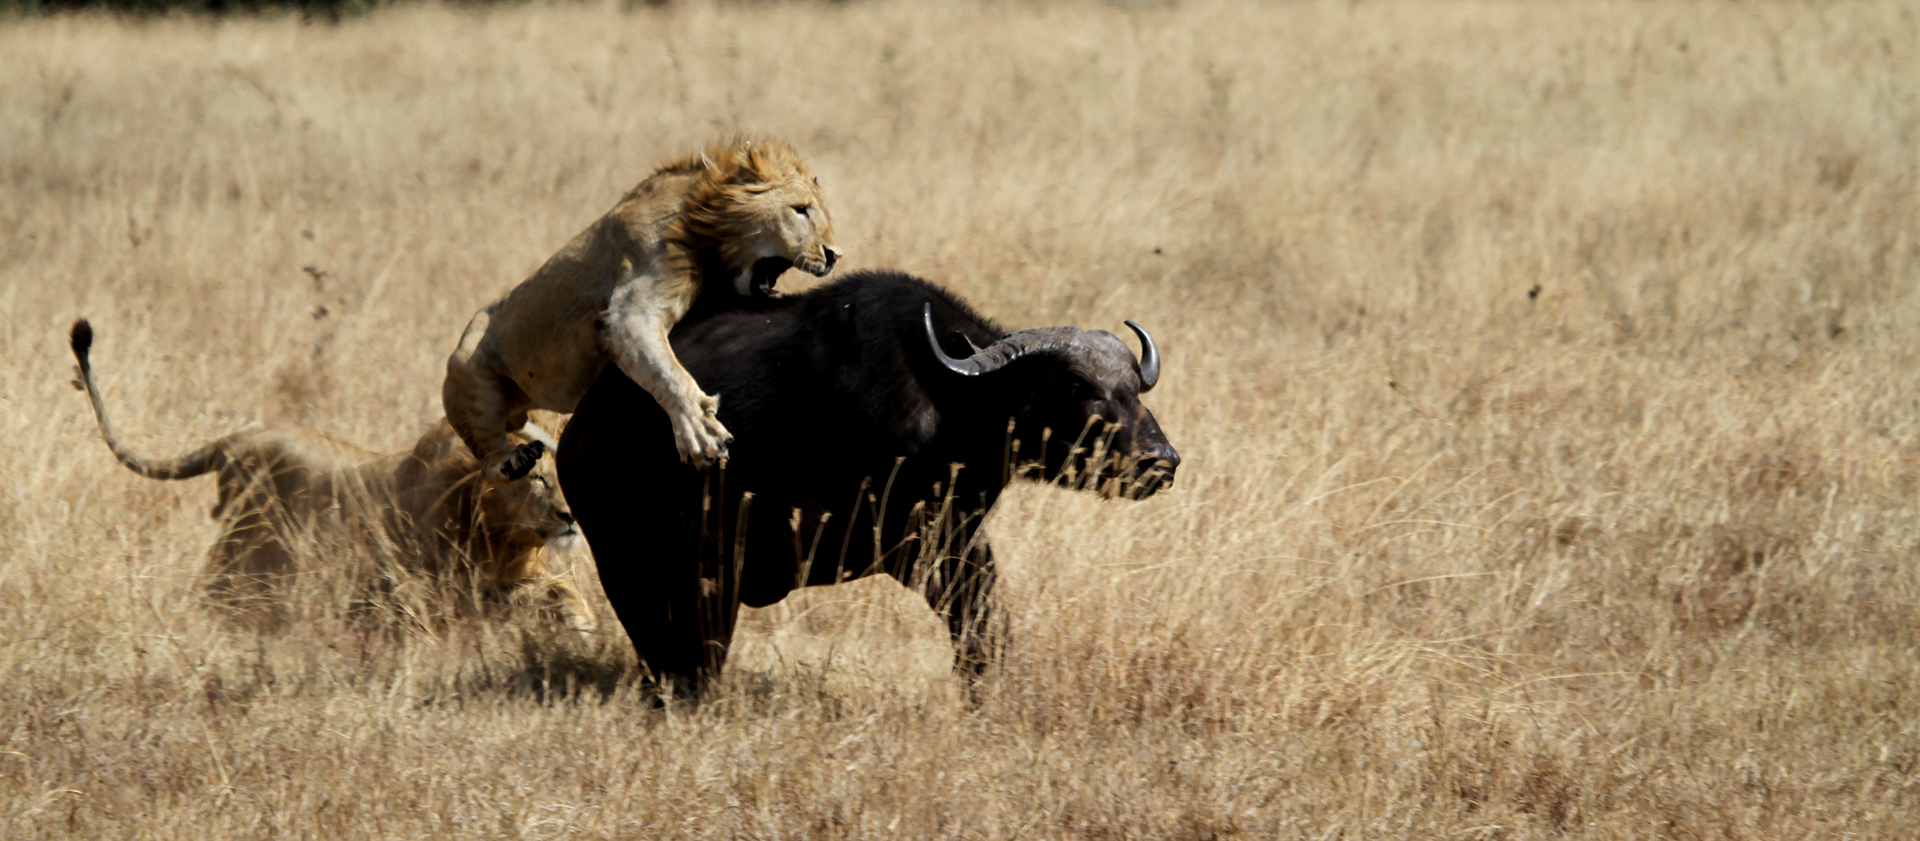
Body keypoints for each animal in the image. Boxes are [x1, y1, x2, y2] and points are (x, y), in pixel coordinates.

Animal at [69, 318, 591, 633]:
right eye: (539, 479)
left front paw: (579, 616)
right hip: (243, 548)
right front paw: (572, 617)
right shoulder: (439, 589)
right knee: (210, 591)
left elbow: (555, 583)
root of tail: (240, 438)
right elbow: (520, 593)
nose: (571, 517)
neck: (500, 534)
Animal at [453, 137, 844, 480]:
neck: (704, 212)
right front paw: (698, 431)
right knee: (487, 456)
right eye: (800, 211)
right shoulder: (629, 310)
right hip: (471, 376)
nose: (834, 255)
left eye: (825, 213)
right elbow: (666, 372)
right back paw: (511, 461)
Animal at [556, 266, 1175, 695]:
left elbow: (985, 624)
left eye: (1133, 386)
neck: (947, 402)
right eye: (1074, 386)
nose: (1161, 459)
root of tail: (578, 432)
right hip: (629, 562)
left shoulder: (955, 537)